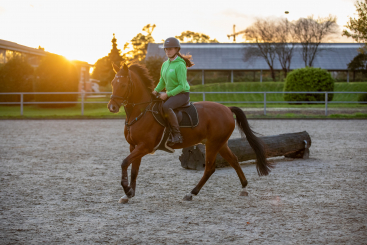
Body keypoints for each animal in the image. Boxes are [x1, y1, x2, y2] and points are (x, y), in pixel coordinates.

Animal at [107, 62, 274, 203]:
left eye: (123, 84)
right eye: (112, 83)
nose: (112, 107)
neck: (141, 111)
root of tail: (227, 109)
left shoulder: (144, 146)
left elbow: (124, 163)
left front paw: (127, 190)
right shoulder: (134, 146)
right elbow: (134, 170)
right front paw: (129, 194)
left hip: (213, 144)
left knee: (209, 168)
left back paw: (191, 193)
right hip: (220, 143)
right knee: (234, 161)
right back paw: (244, 188)